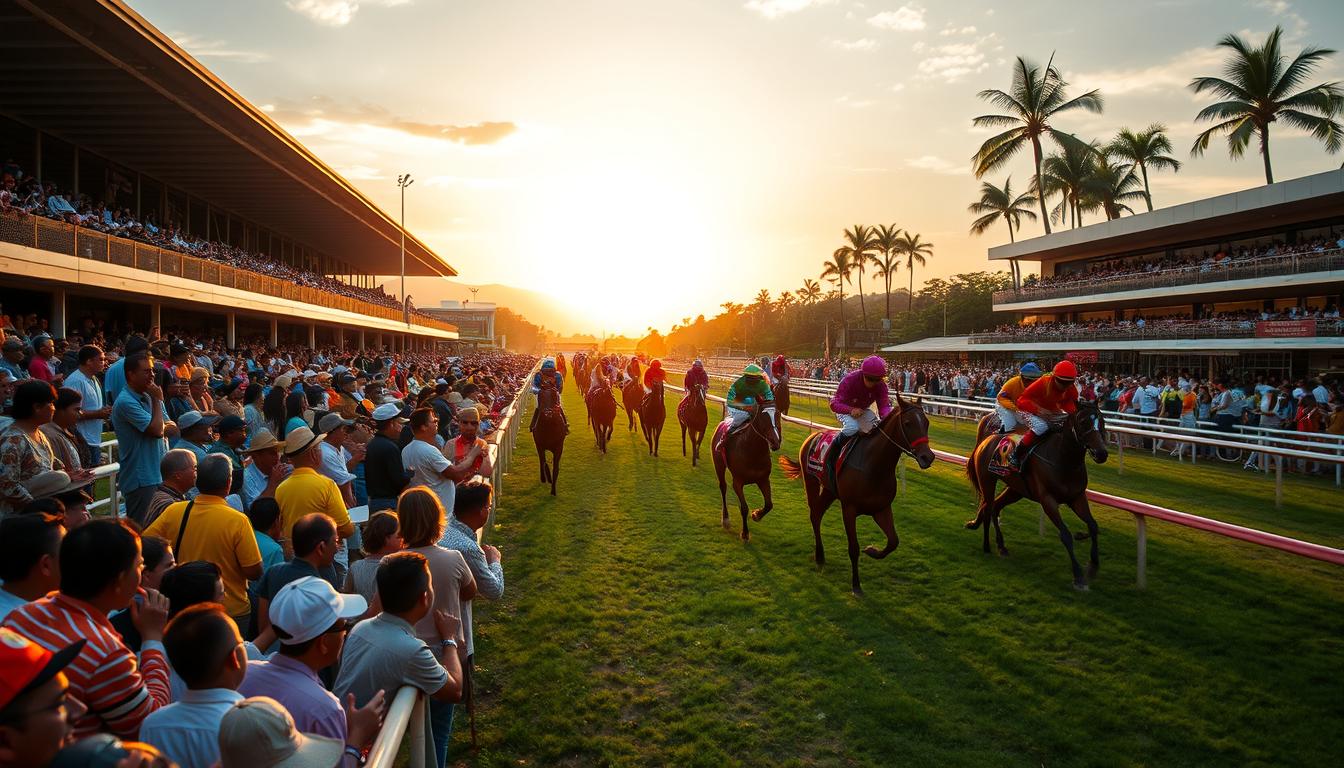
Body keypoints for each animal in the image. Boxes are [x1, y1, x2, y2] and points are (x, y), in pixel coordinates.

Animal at [709, 406, 784, 543]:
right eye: (762, 417)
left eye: (778, 415)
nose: (775, 442)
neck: (753, 452)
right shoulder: (738, 482)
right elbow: (744, 508)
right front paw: (745, 533)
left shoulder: (764, 480)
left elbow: (769, 504)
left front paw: (756, 515)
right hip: (719, 464)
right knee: (723, 487)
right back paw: (725, 519)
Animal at [779, 392, 935, 597]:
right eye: (908, 423)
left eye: (926, 422)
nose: (927, 457)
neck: (874, 466)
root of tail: (813, 435)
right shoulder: (849, 509)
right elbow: (854, 548)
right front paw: (856, 585)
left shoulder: (881, 508)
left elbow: (893, 541)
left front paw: (872, 550)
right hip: (810, 481)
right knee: (814, 515)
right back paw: (819, 556)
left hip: (829, 490)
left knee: (818, 513)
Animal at [973, 400, 1107, 591]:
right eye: (1083, 422)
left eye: (1102, 421)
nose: (1101, 453)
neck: (1063, 460)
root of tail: (988, 439)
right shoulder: (1047, 500)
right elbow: (1065, 535)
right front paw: (1078, 576)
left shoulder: (1077, 497)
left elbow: (1093, 526)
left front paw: (1093, 565)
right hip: (987, 481)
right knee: (989, 507)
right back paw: (988, 545)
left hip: (1016, 490)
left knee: (995, 507)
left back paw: (1001, 545)